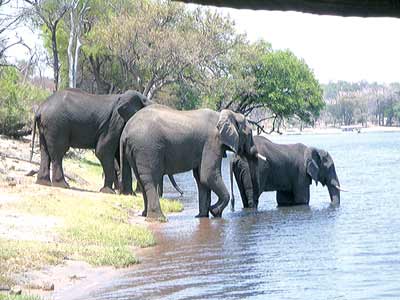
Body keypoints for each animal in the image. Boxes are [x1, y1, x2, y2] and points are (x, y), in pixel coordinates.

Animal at [119, 104, 262, 219]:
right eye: (250, 133)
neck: (226, 114)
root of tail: (125, 131)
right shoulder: (212, 142)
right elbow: (208, 175)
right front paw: (215, 211)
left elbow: (201, 179)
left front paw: (202, 216)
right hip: (147, 148)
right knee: (151, 179)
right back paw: (159, 218)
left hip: (135, 150)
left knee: (141, 179)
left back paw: (145, 215)